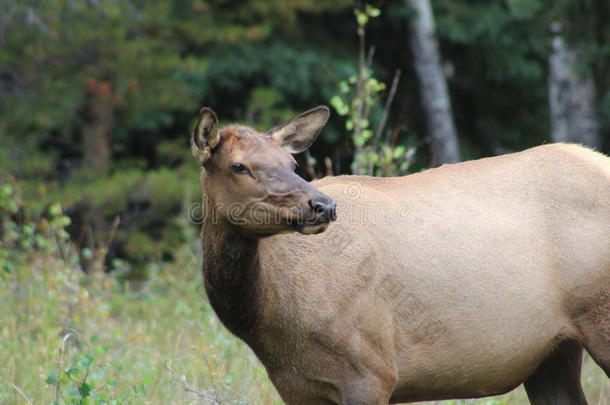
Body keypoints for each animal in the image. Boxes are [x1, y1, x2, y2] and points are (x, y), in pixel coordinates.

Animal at [191, 106, 608, 404]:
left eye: (292, 164)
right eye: (238, 166)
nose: (322, 206)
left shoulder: (370, 372)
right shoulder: (299, 388)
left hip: (600, 316)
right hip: (551, 353)